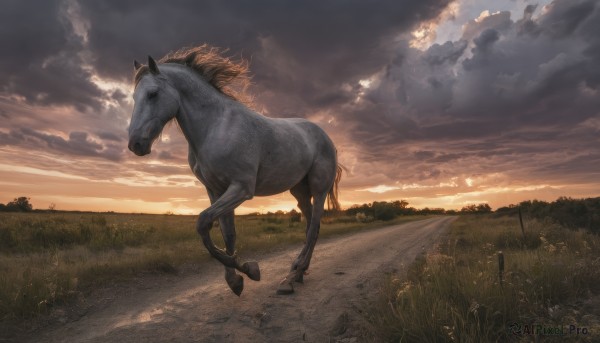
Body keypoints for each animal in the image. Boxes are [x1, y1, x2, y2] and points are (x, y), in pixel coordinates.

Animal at [126, 45, 342, 296]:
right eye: (134, 97)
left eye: (152, 94)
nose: (135, 144)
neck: (217, 127)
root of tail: (326, 138)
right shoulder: (216, 190)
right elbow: (227, 234)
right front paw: (237, 279)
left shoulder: (241, 188)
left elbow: (203, 223)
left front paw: (249, 269)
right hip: (300, 192)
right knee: (310, 228)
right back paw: (297, 274)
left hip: (319, 191)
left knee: (313, 228)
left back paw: (291, 277)